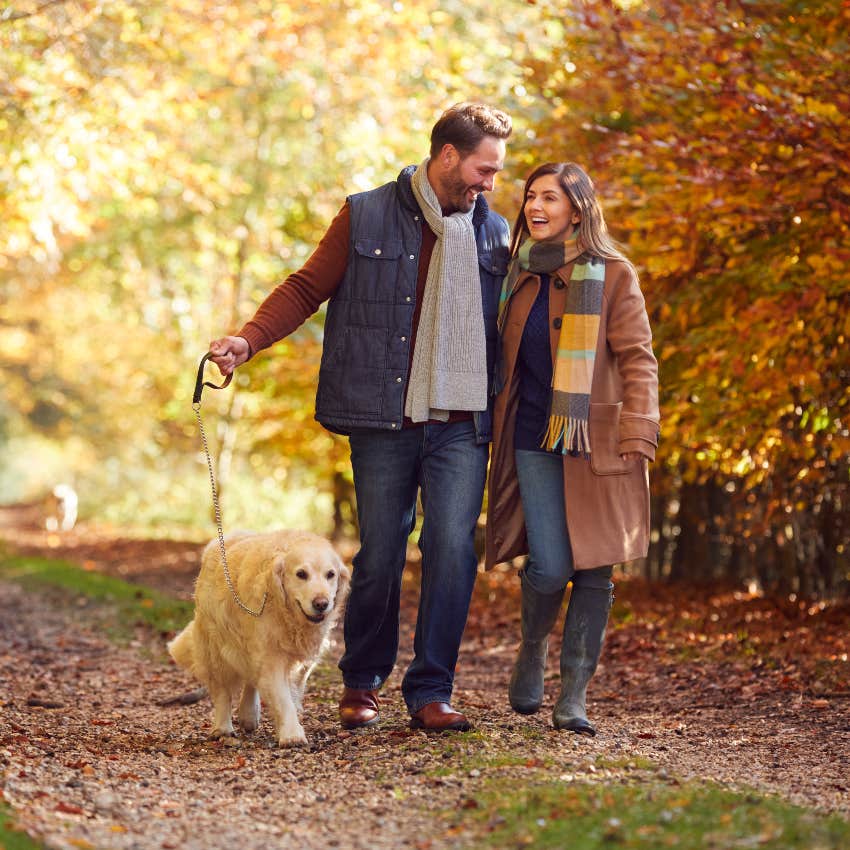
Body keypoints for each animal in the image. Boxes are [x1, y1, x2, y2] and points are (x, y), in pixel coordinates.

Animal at [167, 528, 350, 744]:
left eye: (331, 575)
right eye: (301, 574)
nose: (321, 603)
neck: (286, 611)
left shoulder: (302, 660)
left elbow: (292, 689)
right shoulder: (271, 657)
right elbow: (282, 698)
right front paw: (292, 734)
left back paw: (248, 714)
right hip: (215, 647)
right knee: (222, 691)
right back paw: (222, 727)